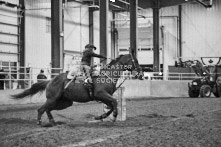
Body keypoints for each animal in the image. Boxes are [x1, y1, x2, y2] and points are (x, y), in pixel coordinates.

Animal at [12, 53, 142, 126]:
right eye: (135, 61)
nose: (141, 72)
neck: (107, 75)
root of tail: (50, 81)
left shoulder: (103, 97)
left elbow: (110, 106)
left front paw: (100, 117)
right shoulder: (101, 94)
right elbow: (114, 103)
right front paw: (114, 116)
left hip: (65, 102)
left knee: (48, 109)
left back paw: (53, 122)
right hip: (52, 99)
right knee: (41, 109)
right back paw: (39, 122)